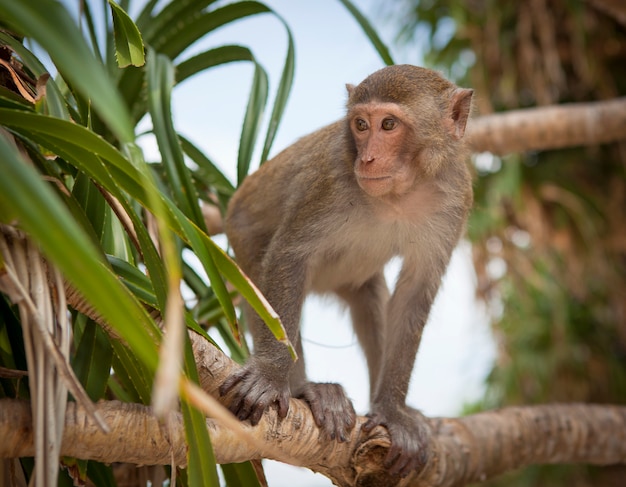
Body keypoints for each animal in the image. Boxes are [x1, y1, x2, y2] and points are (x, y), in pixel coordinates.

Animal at [222, 63, 470, 476]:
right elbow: (290, 254)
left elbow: (414, 293)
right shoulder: (332, 177)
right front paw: (273, 378)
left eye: (389, 124)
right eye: (360, 125)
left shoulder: (454, 198)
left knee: (372, 304)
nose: (366, 159)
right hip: (241, 240)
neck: (399, 193)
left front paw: (394, 412)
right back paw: (307, 389)